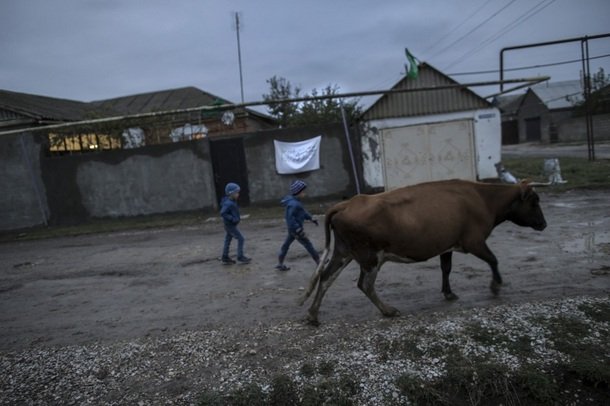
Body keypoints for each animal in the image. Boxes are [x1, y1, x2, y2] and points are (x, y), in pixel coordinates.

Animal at [300, 179, 548, 326]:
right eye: (534, 201)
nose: (544, 224)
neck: (483, 199)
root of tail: (347, 204)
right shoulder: (474, 241)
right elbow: (493, 259)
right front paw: (495, 285)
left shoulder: (447, 245)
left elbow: (446, 268)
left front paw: (448, 292)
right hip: (371, 257)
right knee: (365, 284)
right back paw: (388, 310)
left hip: (344, 252)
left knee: (326, 277)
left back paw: (313, 315)